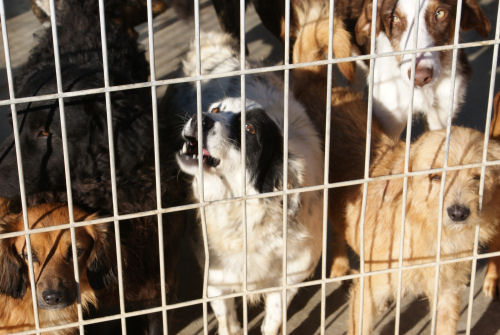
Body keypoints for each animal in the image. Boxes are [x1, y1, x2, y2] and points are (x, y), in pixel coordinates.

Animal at [172, 32, 324, 335]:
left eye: (249, 130)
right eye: (216, 109)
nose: (200, 118)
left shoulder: (290, 278)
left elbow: (272, 321)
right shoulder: (216, 277)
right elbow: (227, 320)